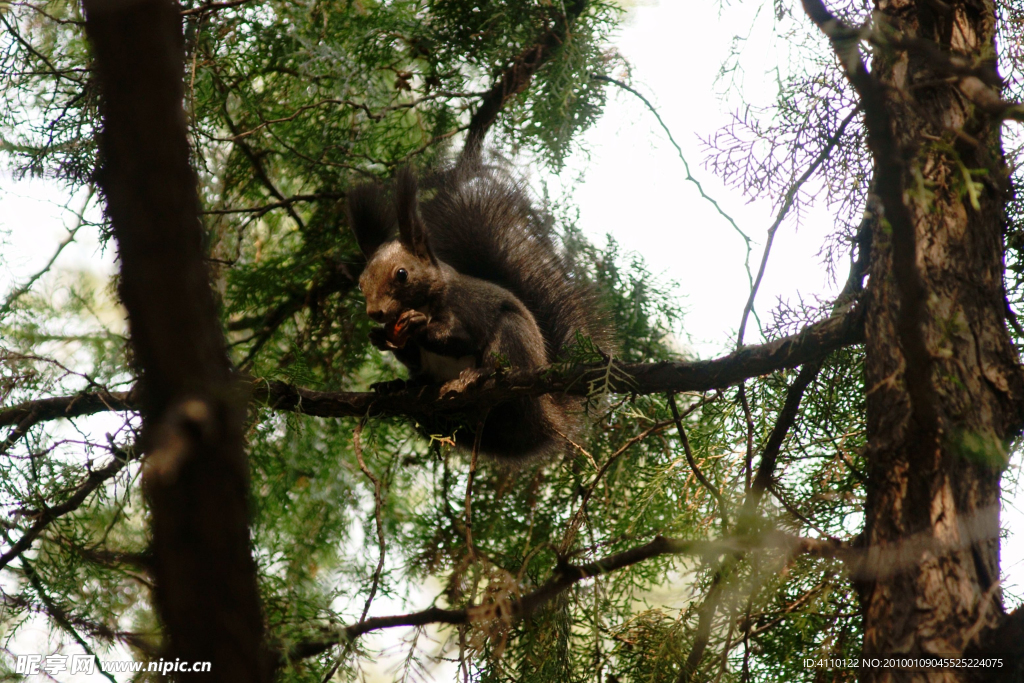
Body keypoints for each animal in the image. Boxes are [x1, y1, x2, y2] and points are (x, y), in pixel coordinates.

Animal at [348, 162, 610, 458]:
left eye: (401, 274)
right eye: (360, 283)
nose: (375, 313)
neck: (426, 301)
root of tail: (546, 416)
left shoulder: (464, 307)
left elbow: (462, 340)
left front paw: (418, 327)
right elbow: (412, 355)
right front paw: (380, 337)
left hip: (513, 337)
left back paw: (480, 374)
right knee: (422, 380)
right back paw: (397, 386)